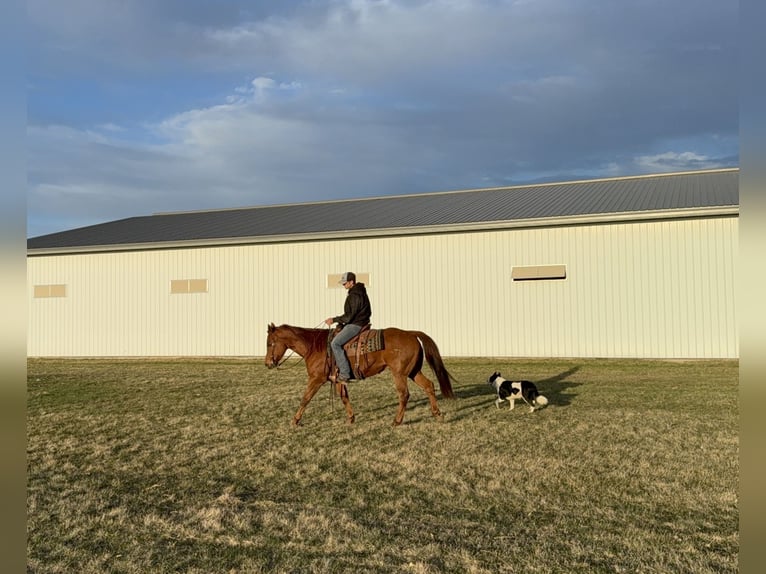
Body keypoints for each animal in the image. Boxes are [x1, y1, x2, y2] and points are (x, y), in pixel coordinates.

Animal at [265, 323, 456, 427]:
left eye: (269, 343)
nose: (267, 364)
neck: (315, 346)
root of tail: (410, 333)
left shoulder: (316, 379)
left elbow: (305, 398)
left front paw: (295, 421)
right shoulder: (337, 380)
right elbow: (344, 398)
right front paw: (351, 418)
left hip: (400, 374)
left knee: (404, 395)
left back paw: (396, 421)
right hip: (413, 372)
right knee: (429, 386)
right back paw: (437, 414)